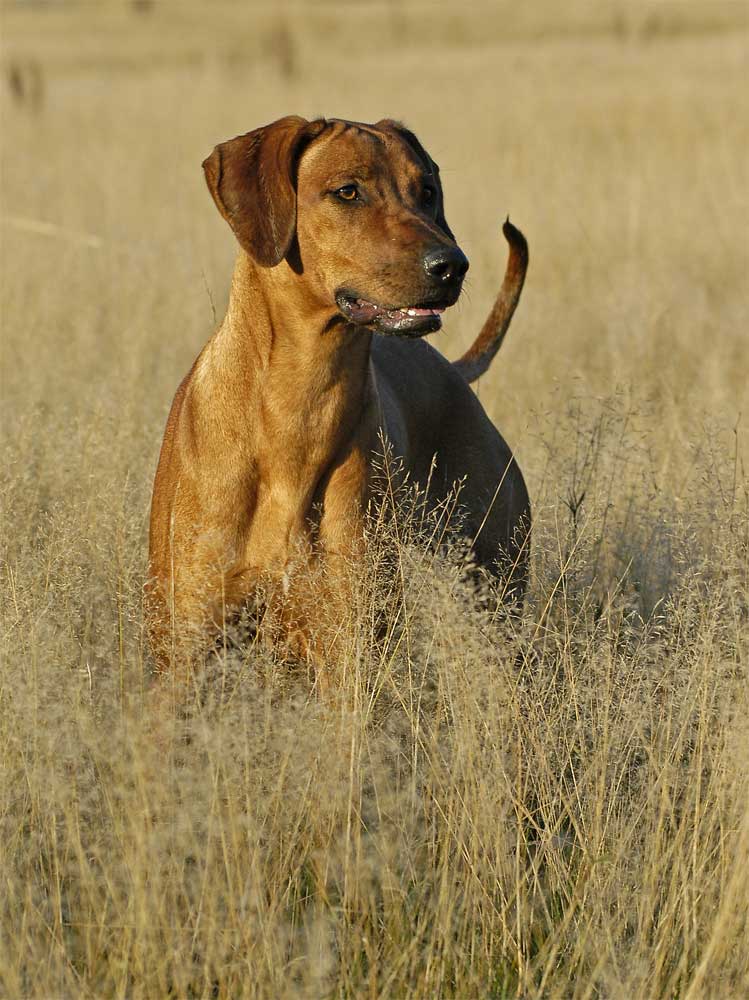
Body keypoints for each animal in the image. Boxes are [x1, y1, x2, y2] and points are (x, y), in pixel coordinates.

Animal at [146, 111, 528, 688]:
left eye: (427, 191)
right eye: (348, 191)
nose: (452, 265)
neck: (297, 402)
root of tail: (454, 373)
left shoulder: (348, 649)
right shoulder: (181, 651)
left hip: (497, 590)